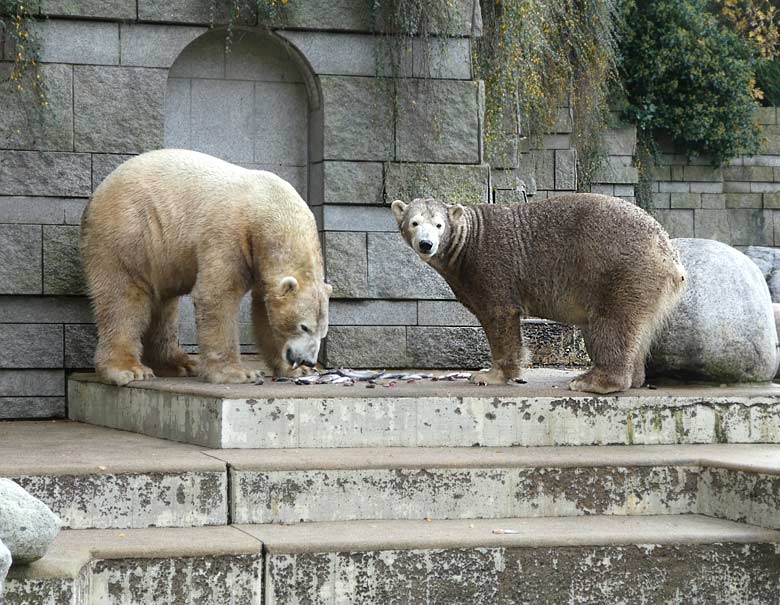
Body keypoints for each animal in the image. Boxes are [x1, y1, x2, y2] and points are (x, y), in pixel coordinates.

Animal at [80, 150, 330, 386]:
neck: (268, 204)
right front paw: (239, 373)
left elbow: (264, 311)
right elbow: (217, 295)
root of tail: (97, 194)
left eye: (323, 332)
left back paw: (180, 364)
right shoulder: (228, 234)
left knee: (163, 308)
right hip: (130, 231)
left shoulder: (261, 261)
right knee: (123, 299)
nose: (308, 360)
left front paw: (296, 370)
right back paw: (129, 369)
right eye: (304, 327)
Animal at [394, 193, 684, 392]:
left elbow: (499, 315)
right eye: (414, 222)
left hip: (622, 270)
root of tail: (670, 255)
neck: (469, 240)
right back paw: (633, 378)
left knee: (613, 322)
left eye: (439, 225)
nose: (426, 244)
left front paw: (488, 375)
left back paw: (592, 381)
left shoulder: (491, 265)